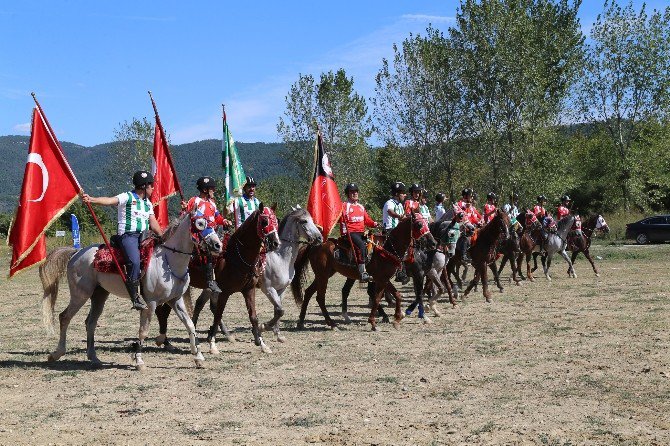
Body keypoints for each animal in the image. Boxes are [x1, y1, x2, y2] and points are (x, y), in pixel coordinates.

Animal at [38, 213, 223, 370]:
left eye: (213, 223)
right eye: (200, 224)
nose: (218, 245)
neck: (168, 261)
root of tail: (77, 253)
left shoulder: (175, 300)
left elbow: (190, 325)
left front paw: (198, 357)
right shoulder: (150, 304)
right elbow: (143, 330)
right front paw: (139, 360)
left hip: (99, 295)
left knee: (90, 322)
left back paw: (94, 357)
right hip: (80, 295)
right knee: (64, 317)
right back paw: (56, 354)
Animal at [156, 205, 280, 356]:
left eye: (276, 221)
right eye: (264, 221)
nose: (276, 243)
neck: (236, 255)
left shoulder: (249, 290)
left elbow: (253, 317)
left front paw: (262, 343)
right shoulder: (224, 292)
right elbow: (218, 315)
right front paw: (213, 345)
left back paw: (167, 342)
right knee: (162, 311)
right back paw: (165, 341)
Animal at [292, 213, 436, 332]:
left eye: (426, 223)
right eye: (419, 224)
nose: (433, 242)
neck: (387, 248)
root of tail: (314, 245)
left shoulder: (384, 279)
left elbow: (393, 296)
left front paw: (394, 320)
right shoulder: (383, 279)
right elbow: (381, 297)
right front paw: (377, 322)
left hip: (324, 275)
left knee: (309, 292)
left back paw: (301, 321)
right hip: (323, 276)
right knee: (320, 297)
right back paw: (332, 324)